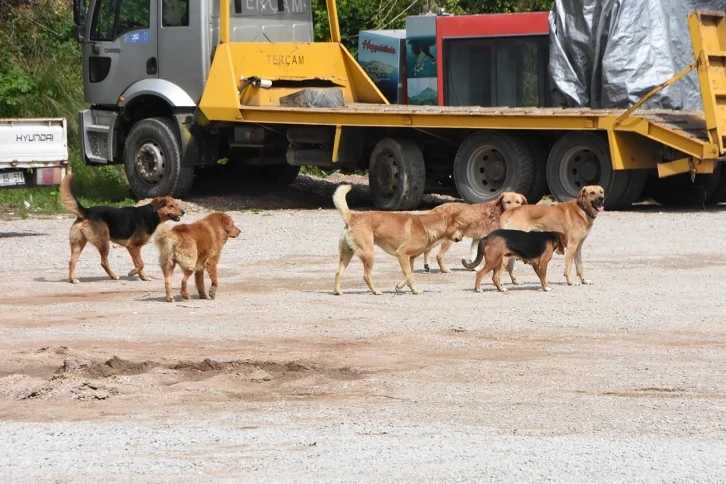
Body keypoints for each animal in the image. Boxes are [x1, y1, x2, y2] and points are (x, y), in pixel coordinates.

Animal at [332, 183, 464, 294]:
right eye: (459, 225)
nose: (462, 237)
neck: (425, 226)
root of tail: (352, 217)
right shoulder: (401, 254)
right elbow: (408, 275)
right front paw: (399, 287)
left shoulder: (410, 259)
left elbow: (411, 276)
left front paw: (414, 290)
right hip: (368, 254)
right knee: (366, 276)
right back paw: (376, 291)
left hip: (347, 254)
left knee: (338, 272)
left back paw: (337, 291)